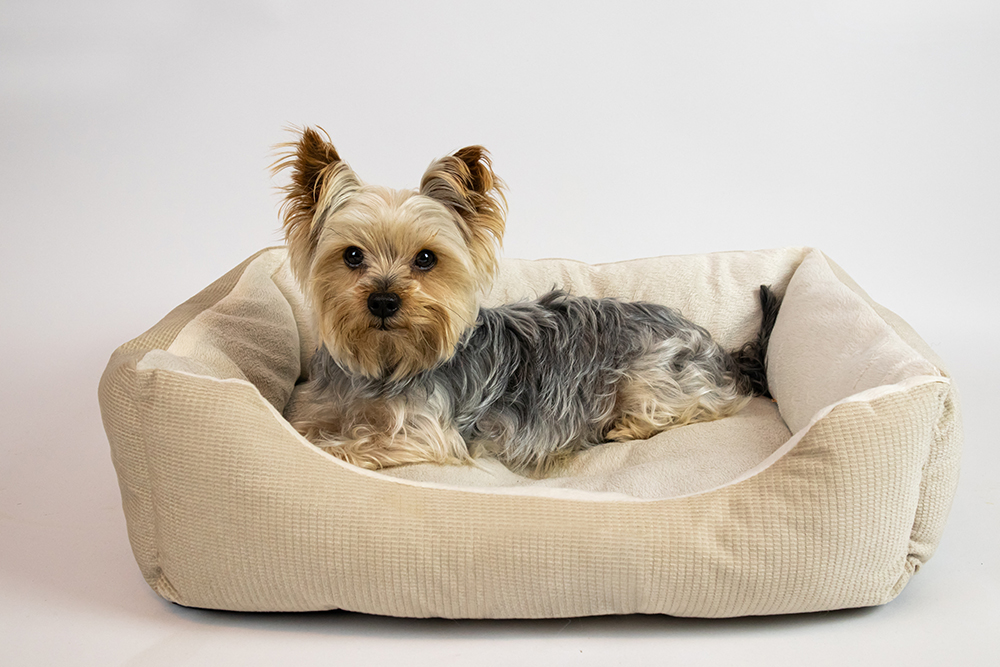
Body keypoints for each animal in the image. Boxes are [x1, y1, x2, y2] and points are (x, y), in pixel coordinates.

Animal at [276, 128, 780, 478]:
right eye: (351, 256)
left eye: (426, 258)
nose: (383, 301)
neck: (385, 363)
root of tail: (715, 346)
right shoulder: (322, 406)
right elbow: (309, 428)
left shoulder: (425, 434)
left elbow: (349, 444)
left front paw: (332, 446)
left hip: (650, 374)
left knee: (704, 405)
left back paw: (625, 426)